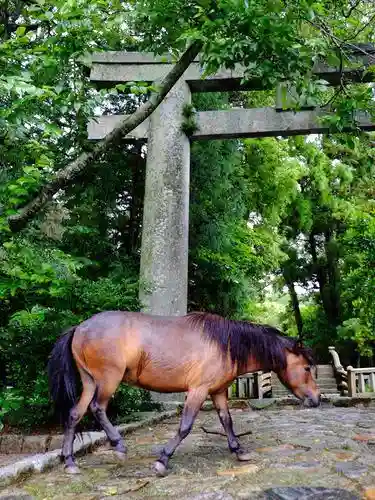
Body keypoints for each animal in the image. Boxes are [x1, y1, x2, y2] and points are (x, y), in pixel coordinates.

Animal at [48, 310, 322, 474]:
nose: (317, 399)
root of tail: (80, 328)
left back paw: (69, 462)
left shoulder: (218, 392)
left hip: (89, 382)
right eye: (307, 367)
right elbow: (185, 426)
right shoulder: (198, 391)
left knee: (74, 414)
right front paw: (163, 459)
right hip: (107, 381)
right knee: (98, 408)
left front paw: (239, 450)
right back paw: (118, 446)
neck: (225, 344)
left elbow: (227, 421)